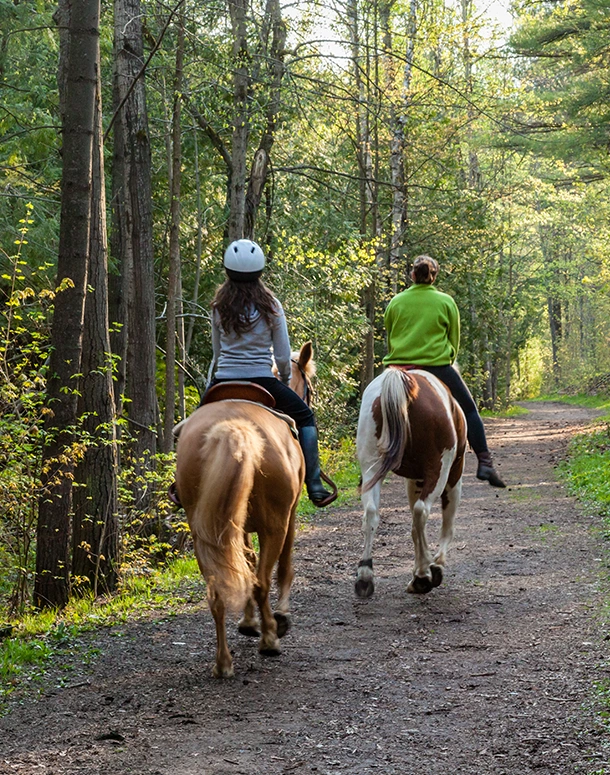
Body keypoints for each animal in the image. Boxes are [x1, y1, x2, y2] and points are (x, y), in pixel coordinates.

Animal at [172, 342, 312, 676]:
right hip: (275, 523)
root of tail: (233, 427)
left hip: (204, 531)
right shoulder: (289, 516)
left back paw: (223, 663)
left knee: (218, 591)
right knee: (262, 580)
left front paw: (248, 622)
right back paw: (270, 638)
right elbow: (283, 567)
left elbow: (244, 562)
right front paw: (279, 618)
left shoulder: (237, 525)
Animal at [352, 366, 466, 596]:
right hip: (439, 469)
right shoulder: (454, 475)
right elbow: (446, 524)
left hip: (371, 467)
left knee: (372, 513)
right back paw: (425, 572)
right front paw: (435, 566)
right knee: (422, 511)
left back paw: (365, 576)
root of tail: (402, 379)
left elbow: (414, 528)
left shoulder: (415, 480)